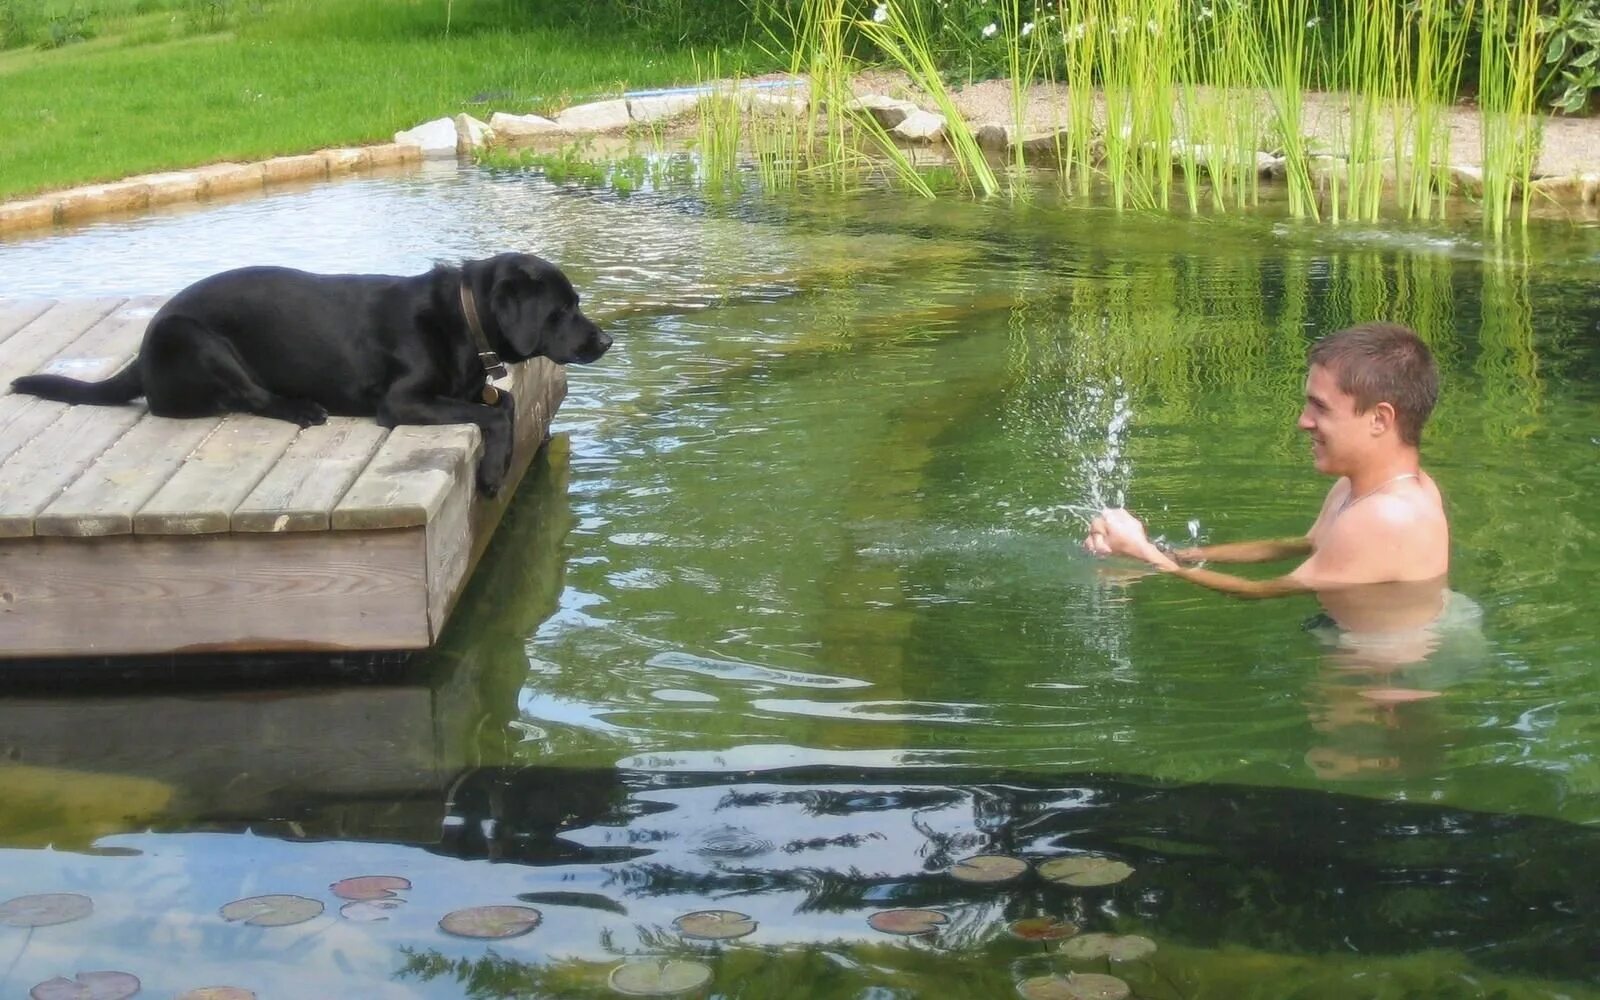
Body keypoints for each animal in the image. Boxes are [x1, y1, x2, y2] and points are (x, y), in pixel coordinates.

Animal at [9, 252, 608, 496]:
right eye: (563, 310)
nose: (605, 340)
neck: (461, 317)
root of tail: (141, 352)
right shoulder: (403, 401)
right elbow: (495, 414)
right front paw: (490, 476)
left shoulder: (472, 390)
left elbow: (503, 403)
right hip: (198, 338)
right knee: (250, 398)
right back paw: (301, 408)